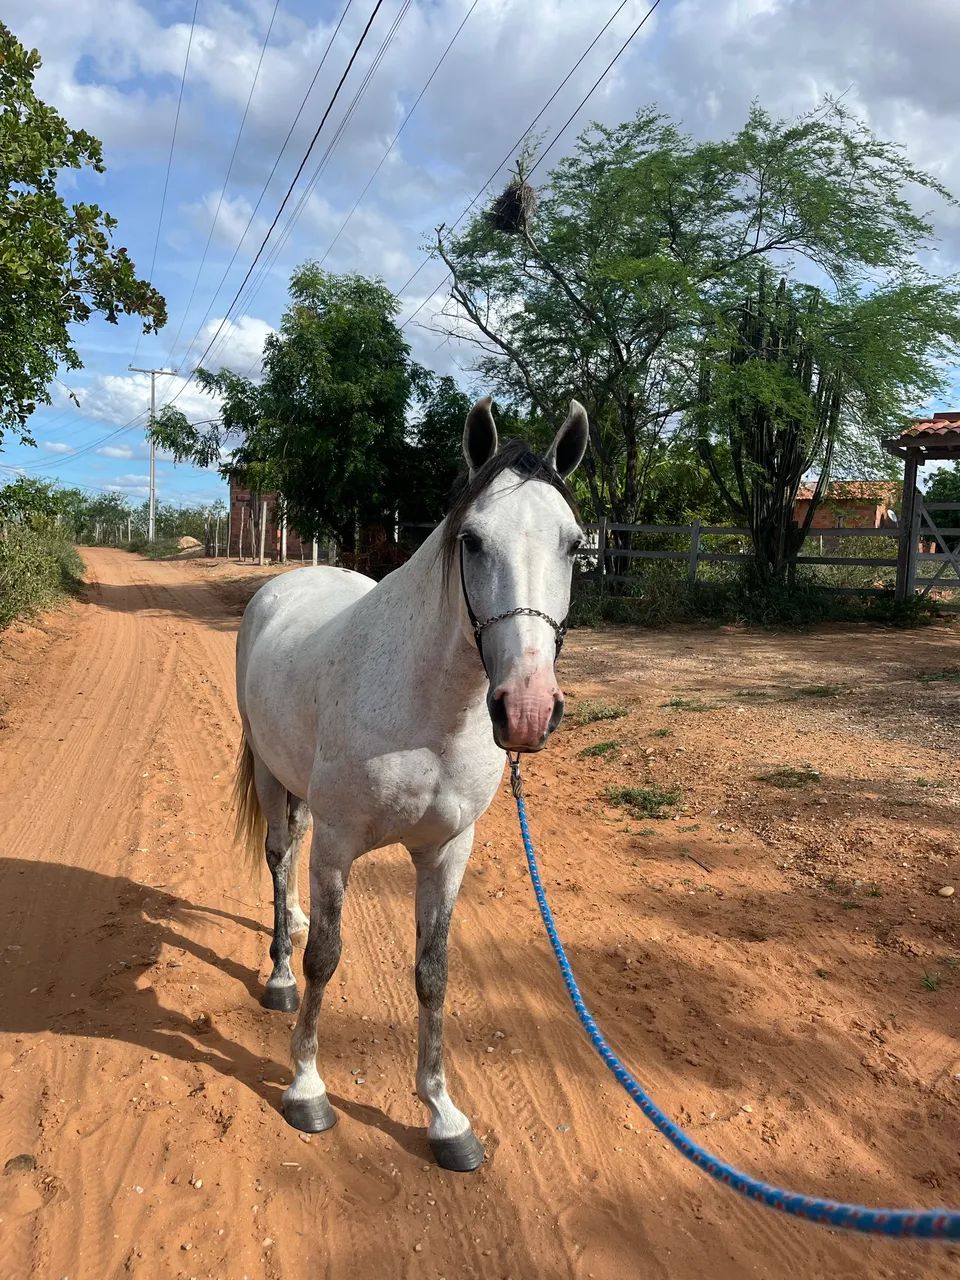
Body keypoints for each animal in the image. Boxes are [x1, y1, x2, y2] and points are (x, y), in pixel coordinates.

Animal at [233, 395, 589, 1172]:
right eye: (473, 541)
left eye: (574, 544)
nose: (527, 709)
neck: (429, 709)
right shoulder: (338, 846)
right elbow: (326, 957)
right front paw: (307, 1087)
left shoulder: (447, 852)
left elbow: (433, 972)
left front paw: (443, 1115)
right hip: (272, 778)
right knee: (279, 858)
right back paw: (277, 977)